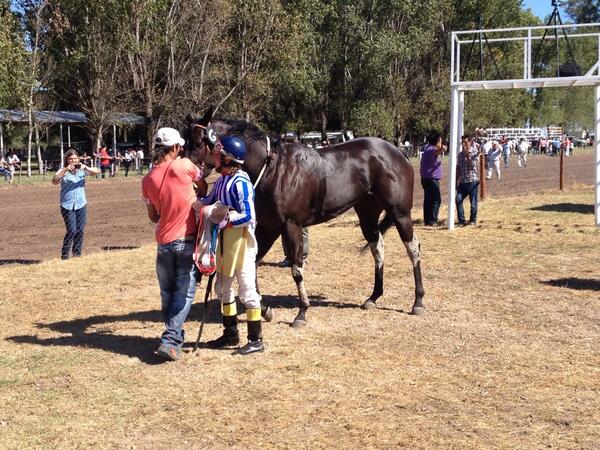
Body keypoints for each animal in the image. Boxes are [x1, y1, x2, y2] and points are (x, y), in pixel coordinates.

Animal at [185, 110, 424, 326]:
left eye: (196, 143)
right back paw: (373, 297)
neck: (272, 168)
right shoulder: (268, 228)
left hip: (400, 213)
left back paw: (418, 301)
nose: (189, 177)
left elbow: (297, 270)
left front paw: (301, 312)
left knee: (413, 249)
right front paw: (264, 308)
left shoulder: (292, 227)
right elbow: (253, 264)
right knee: (378, 249)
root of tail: (396, 151)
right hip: (367, 214)